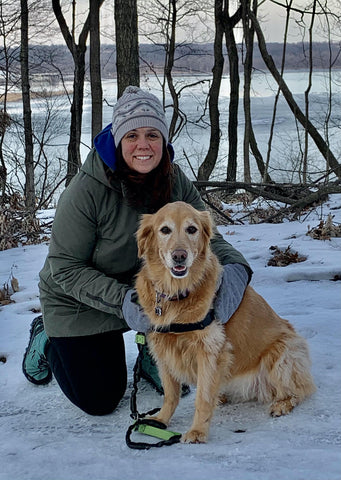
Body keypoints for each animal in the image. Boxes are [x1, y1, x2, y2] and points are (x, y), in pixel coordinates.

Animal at [134, 201, 314, 444]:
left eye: (192, 229)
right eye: (165, 230)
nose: (179, 256)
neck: (177, 293)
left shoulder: (209, 349)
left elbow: (202, 398)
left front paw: (198, 431)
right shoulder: (163, 349)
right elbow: (171, 395)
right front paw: (160, 420)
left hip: (282, 355)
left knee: (299, 390)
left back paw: (282, 404)